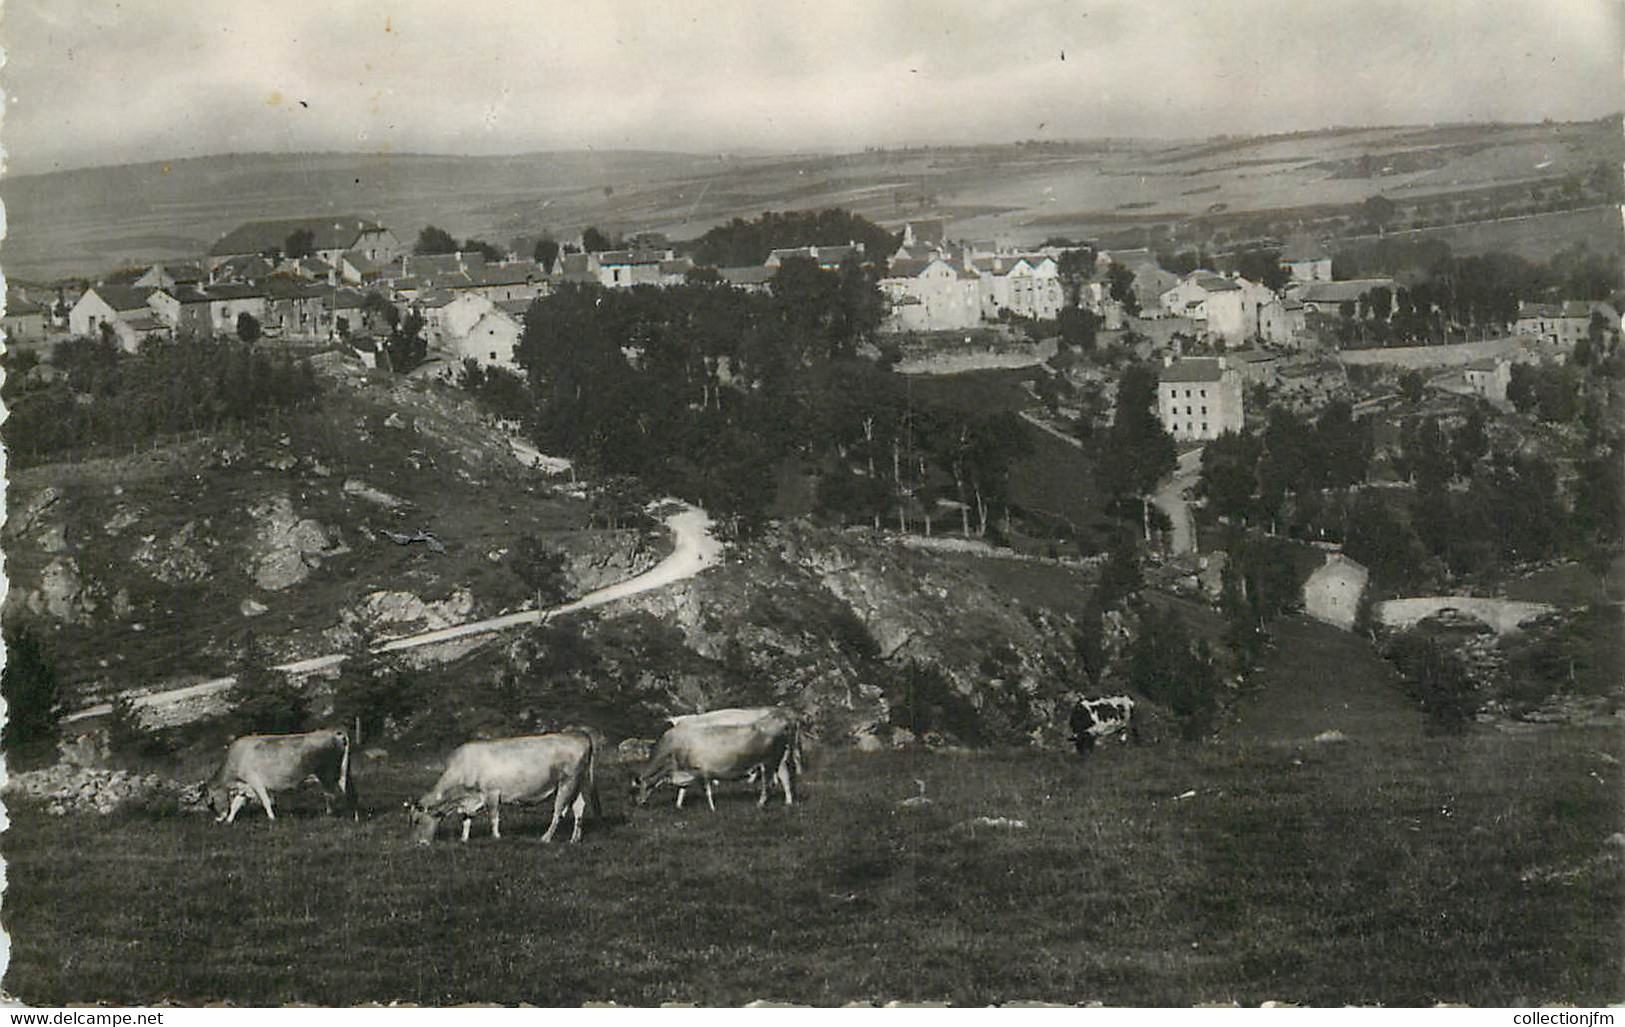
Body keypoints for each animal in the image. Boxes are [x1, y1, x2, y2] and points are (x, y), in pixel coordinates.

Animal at [203, 724, 359, 822]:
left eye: (211, 804)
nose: (218, 818)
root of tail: (335, 731)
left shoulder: (255, 781)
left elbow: (266, 801)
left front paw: (272, 819)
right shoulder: (246, 786)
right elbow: (236, 804)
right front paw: (229, 820)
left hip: (327, 775)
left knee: (334, 794)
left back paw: (333, 815)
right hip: (343, 773)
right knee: (348, 794)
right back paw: (354, 817)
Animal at [406, 734, 604, 845]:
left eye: (417, 821)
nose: (419, 843)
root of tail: (579, 735)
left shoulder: (492, 793)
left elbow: (494, 817)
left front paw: (496, 837)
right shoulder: (471, 800)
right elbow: (466, 820)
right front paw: (464, 839)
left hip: (567, 782)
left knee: (558, 811)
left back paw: (546, 838)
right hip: (578, 783)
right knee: (579, 807)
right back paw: (574, 839)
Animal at [630, 705, 796, 809]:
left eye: (641, 787)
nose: (639, 801)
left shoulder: (700, 770)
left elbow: (707, 790)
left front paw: (712, 808)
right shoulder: (685, 770)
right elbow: (683, 789)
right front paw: (678, 806)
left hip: (769, 761)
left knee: (771, 782)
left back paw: (763, 803)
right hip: (779, 760)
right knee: (784, 777)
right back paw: (788, 802)